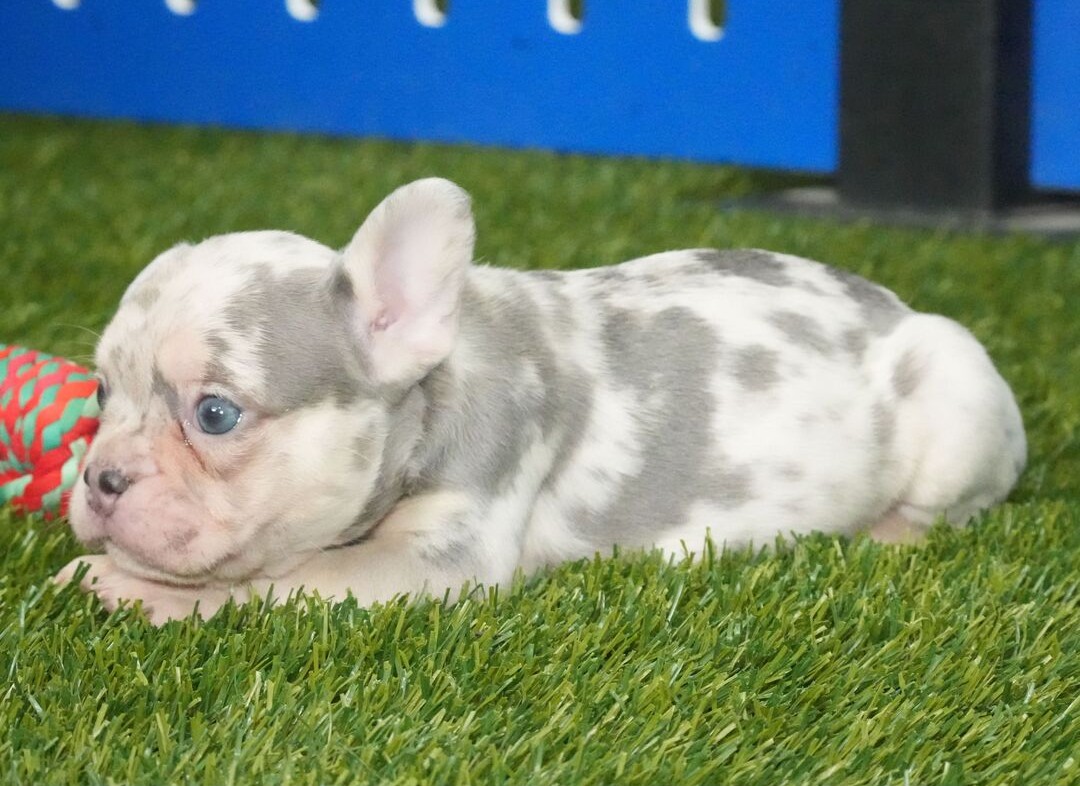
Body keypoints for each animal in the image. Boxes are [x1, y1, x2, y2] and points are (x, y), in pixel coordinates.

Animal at [54, 178, 1027, 624]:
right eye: (101, 390)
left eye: (215, 414)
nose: (100, 478)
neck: (436, 390)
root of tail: (896, 304)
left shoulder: (433, 562)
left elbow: (272, 585)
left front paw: (121, 586)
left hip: (958, 401)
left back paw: (886, 533)